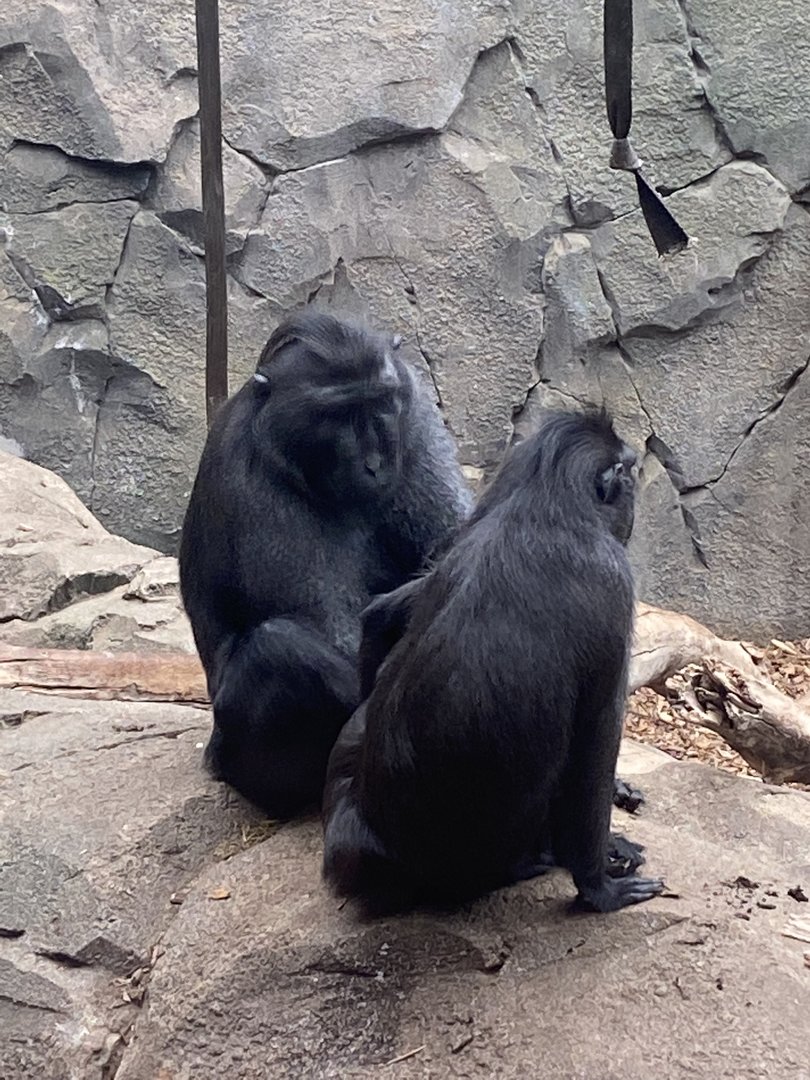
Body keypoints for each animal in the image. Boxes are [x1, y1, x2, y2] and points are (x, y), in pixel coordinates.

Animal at [178, 311, 472, 819]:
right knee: (275, 651)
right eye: (336, 415)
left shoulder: (415, 413)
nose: (375, 462)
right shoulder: (252, 479)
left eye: (381, 403)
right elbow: (343, 640)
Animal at [322, 408, 664, 915]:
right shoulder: (613, 587)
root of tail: (375, 846)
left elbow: (381, 615)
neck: (547, 504)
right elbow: (594, 746)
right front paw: (598, 885)